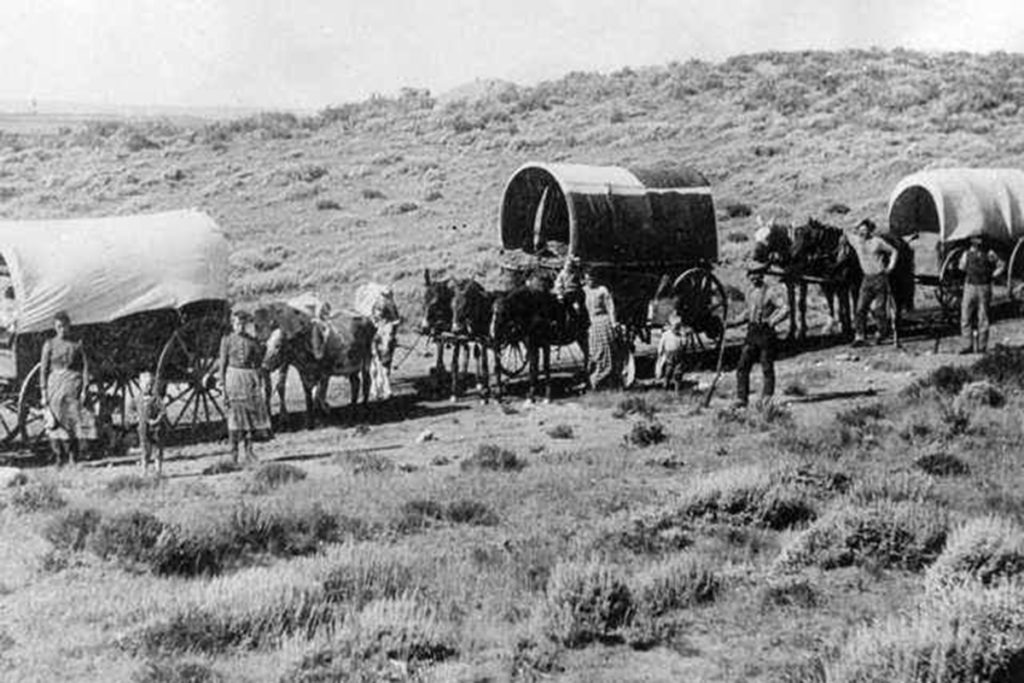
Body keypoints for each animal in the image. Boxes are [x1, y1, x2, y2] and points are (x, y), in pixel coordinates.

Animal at [489, 270, 589, 403]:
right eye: (492, 312)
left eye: (503, 313)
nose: (494, 333)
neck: (533, 312)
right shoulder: (531, 344)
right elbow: (533, 367)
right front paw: (531, 394)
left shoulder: (545, 344)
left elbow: (546, 367)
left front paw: (547, 395)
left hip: (583, 335)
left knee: (587, 356)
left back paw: (585, 382)